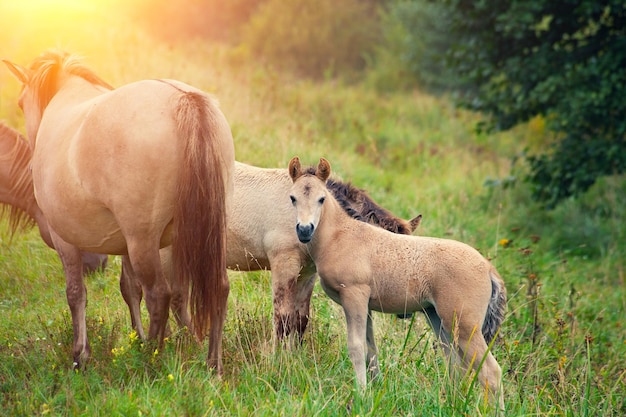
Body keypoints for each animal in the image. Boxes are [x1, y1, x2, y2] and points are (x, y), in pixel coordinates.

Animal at [118, 160, 420, 342]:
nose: (406, 311)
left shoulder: (307, 272)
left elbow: (300, 319)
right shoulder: (283, 263)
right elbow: (282, 317)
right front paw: (277, 362)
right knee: (169, 297)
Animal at [288, 157, 508, 410]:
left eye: (321, 198)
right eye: (292, 198)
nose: (304, 230)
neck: (341, 236)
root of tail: (488, 268)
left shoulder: (354, 296)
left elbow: (356, 347)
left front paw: (361, 396)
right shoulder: (365, 306)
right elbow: (370, 349)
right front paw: (375, 390)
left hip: (464, 325)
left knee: (490, 371)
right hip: (437, 317)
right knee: (455, 362)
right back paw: (451, 403)